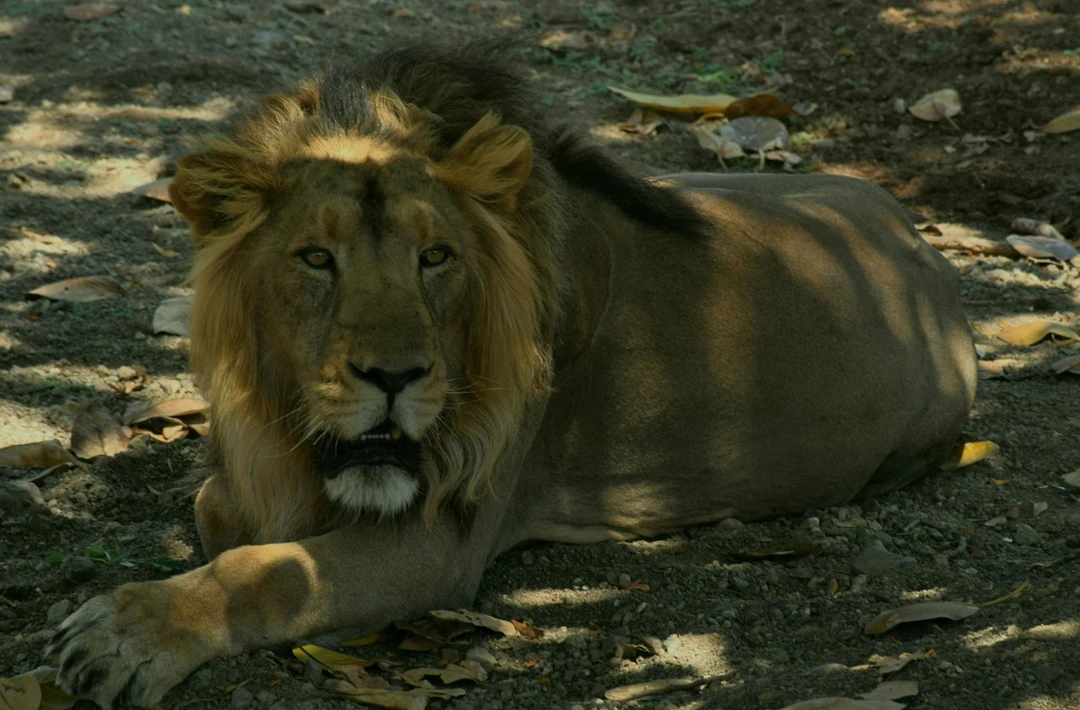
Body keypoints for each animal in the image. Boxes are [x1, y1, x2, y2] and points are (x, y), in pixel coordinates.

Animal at [46, 44, 976, 708]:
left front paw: (125, 634)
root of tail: (918, 236)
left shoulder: (440, 541)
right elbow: (228, 518)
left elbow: (269, 568)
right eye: (315, 258)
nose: (395, 376)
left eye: (435, 258)